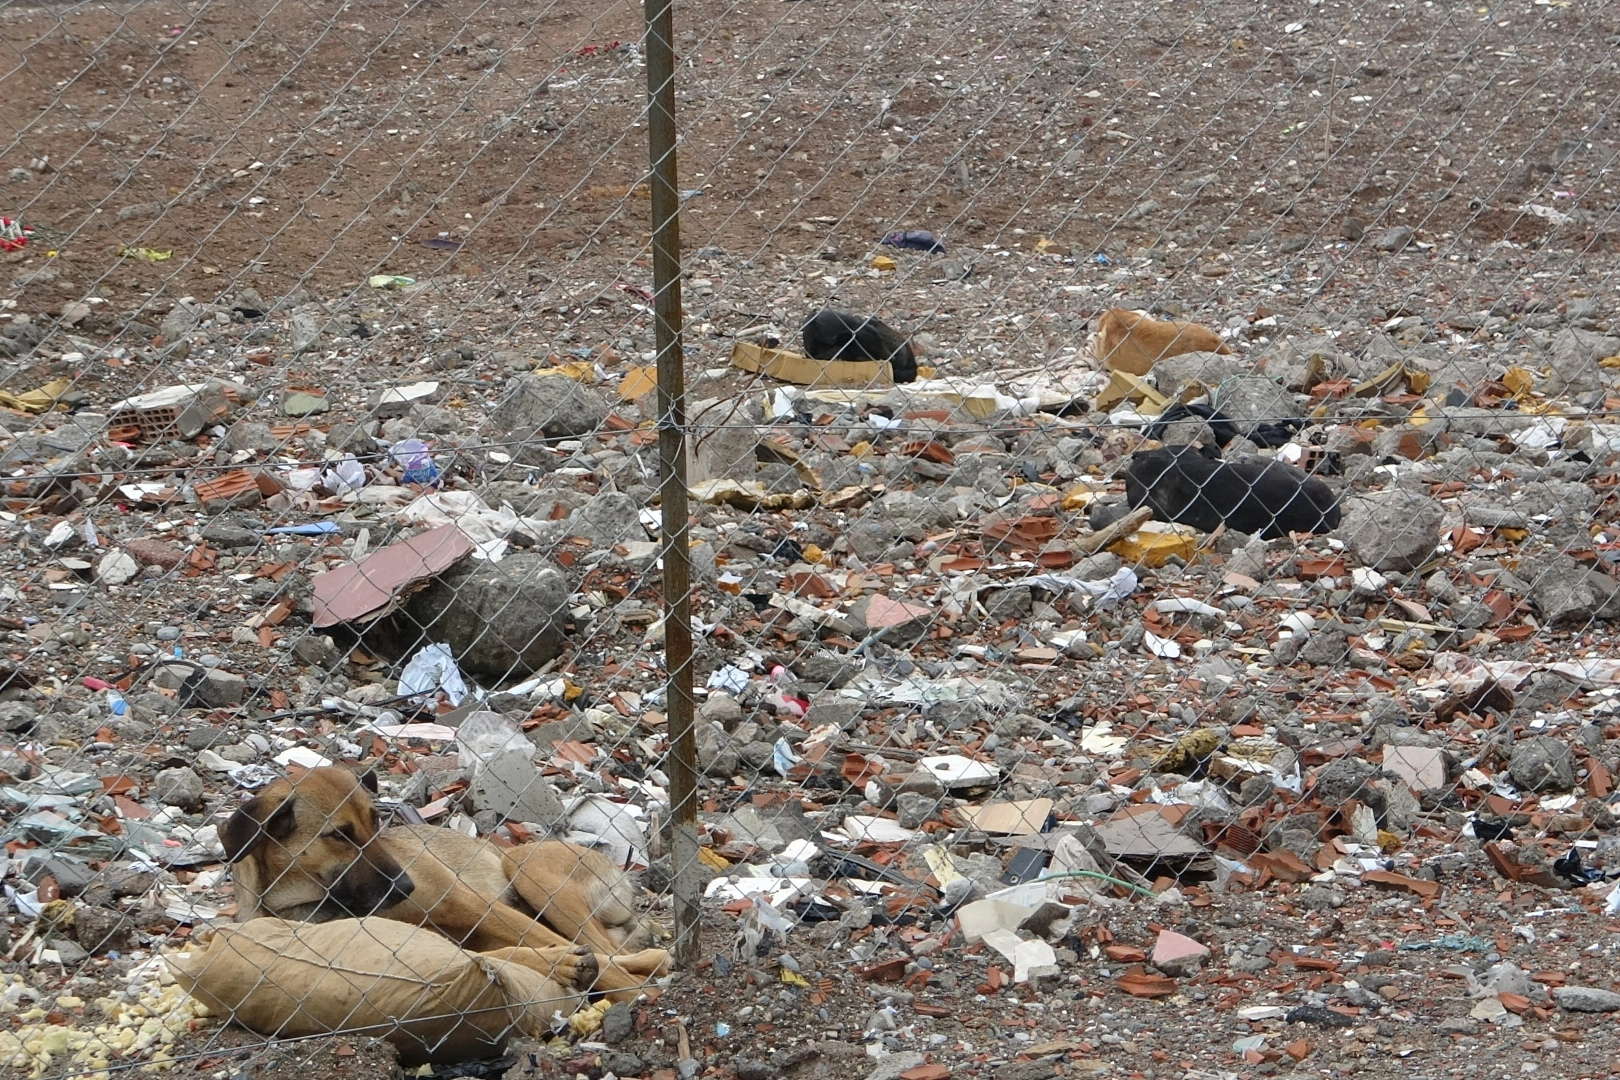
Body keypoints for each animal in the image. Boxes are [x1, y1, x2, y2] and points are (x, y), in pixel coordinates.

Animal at [220, 764, 664, 1003]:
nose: (406, 886)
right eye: (339, 835)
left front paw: (634, 993)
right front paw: (564, 964)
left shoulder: (471, 904)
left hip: (524, 867)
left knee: (609, 949)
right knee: (612, 949)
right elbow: (511, 954)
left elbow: (545, 944)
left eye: (376, 820)